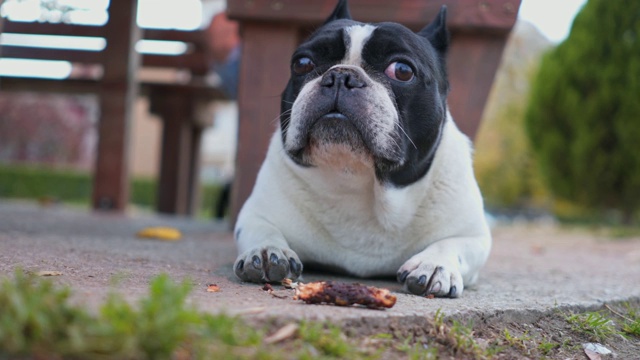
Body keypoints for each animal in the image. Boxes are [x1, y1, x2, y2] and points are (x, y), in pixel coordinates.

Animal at [232, 0, 492, 298]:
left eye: (402, 70)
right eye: (302, 63)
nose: (340, 75)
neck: (358, 183)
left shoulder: (474, 236)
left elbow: (452, 243)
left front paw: (434, 263)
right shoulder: (256, 213)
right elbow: (261, 228)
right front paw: (267, 250)